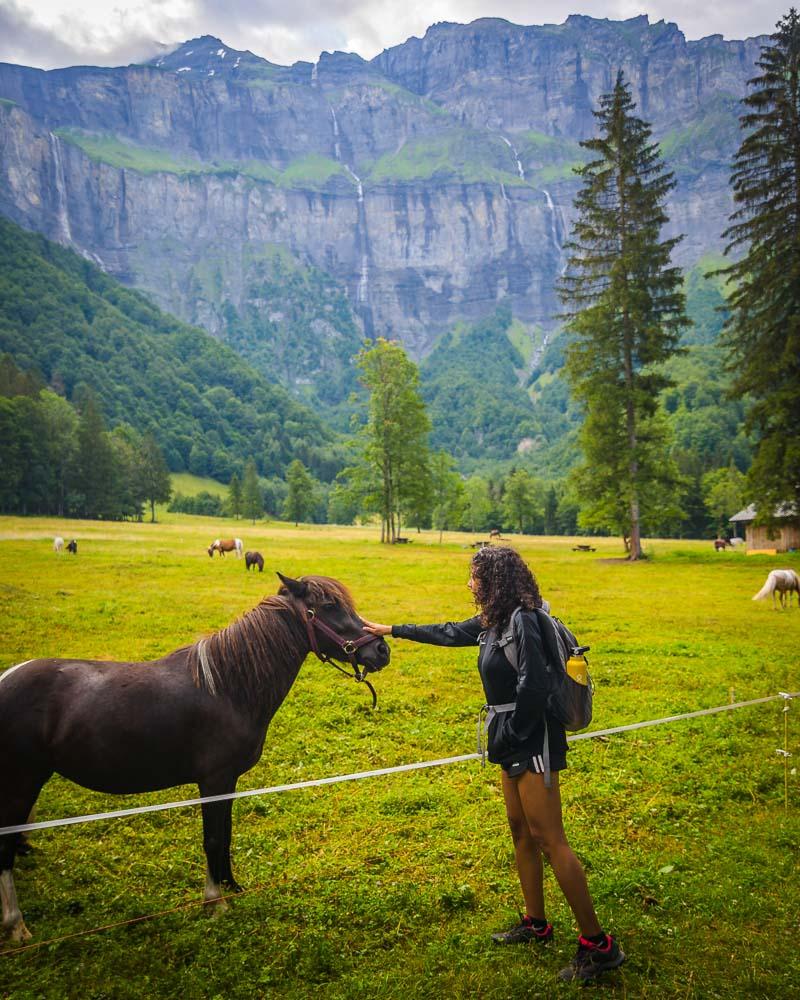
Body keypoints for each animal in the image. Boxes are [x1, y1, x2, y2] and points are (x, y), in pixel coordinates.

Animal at [0, 576, 390, 940]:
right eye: (327, 607)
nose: (382, 649)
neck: (228, 688)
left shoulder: (228, 782)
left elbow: (226, 835)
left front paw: (232, 886)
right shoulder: (214, 780)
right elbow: (213, 839)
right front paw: (214, 902)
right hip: (21, 784)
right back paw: (16, 925)